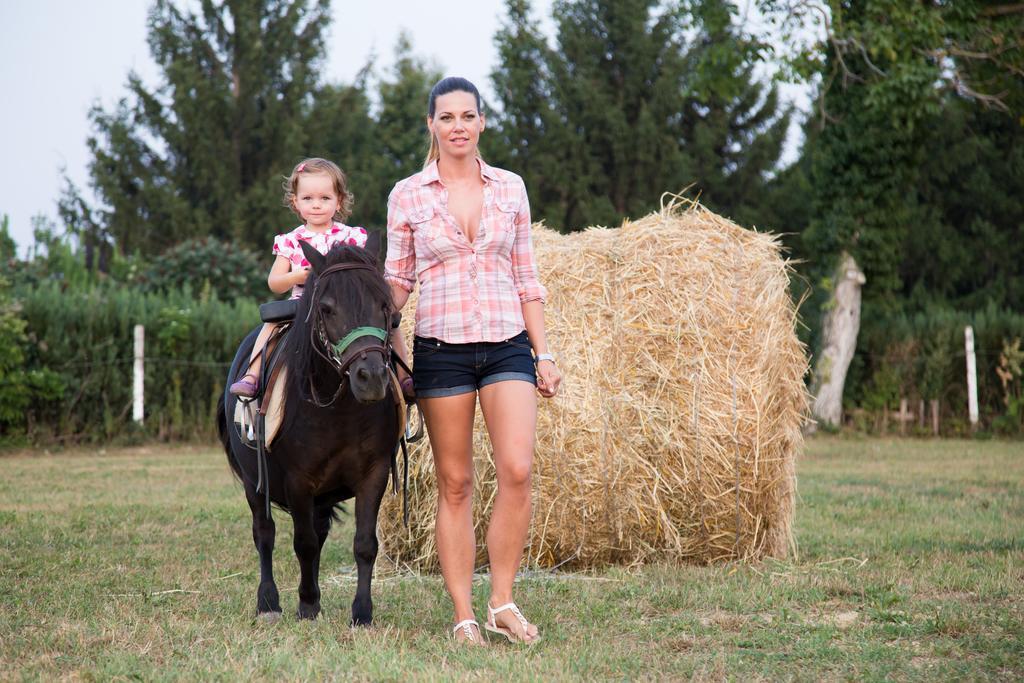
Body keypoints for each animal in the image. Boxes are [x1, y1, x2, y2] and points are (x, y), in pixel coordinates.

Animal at [217, 237, 399, 626]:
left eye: (385, 306)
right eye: (327, 309)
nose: (372, 377)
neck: (338, 411)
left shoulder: (373, 474)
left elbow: (364, 544)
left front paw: (362, 613)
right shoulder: (299, 481)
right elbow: (302, 543)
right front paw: (307, 603)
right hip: (254, 485)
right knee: (265, 534)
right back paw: (268, 603)